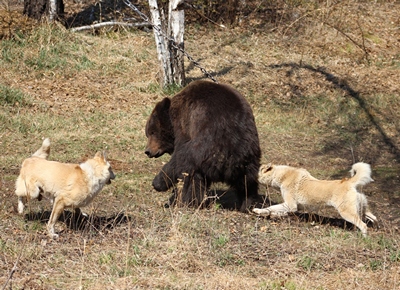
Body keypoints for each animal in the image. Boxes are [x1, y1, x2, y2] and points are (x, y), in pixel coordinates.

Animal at [145, 79, 260, 211]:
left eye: (152, 132)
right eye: (148, 133)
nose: (147, 151)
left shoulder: (184, 125)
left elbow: (178, 157)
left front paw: (158, 183)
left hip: (208, 147)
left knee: (190, 171)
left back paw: (189, 201)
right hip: (249, 156)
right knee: (247, 182)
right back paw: (247, 204)